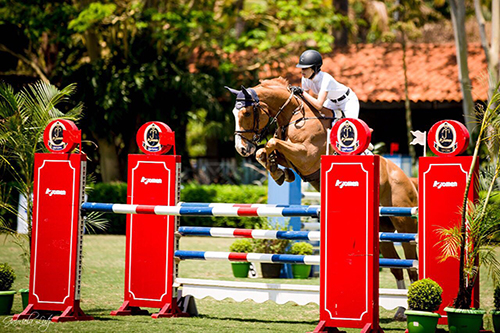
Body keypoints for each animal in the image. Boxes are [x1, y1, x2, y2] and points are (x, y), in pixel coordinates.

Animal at [226, 78, 418, 320]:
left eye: (247, 112)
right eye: (234, 112)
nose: (241, 149)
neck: (294, 116)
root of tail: (407, 179)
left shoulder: (306, 155)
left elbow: (271, 145)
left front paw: (278, 170)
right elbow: (266, 152)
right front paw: (280, 173)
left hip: (404, 224)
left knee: (412, 264)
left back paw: (412, 308)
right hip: (383, 233)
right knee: (396, 266)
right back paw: (400, 310)